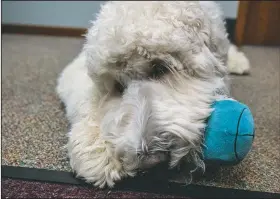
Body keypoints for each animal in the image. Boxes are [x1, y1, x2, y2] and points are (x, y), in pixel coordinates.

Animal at [55, 1, 250, 188]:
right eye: (118, 86)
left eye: (160, 68)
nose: (150, 160)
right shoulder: (75, 70)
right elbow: (86, 97)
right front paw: (97, 147)